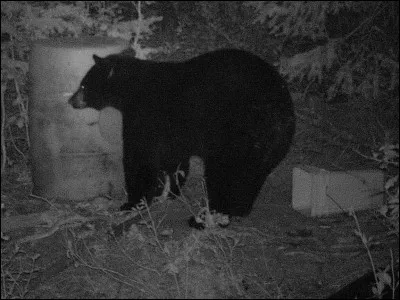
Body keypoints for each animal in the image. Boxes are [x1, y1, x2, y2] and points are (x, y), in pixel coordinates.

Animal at [68, 49, 294, 227]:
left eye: (83, 86)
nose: (71, 100)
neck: (132, 89)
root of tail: (280, 111)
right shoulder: (173, 131)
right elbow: (173, 158)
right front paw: (169, 191)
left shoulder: (146, 115)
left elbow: (140, 157)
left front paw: (132, 203)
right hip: (265, 147)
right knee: (250, 176)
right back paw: (239, 209)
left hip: (235, 135)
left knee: (223, 174)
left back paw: (206, 218)